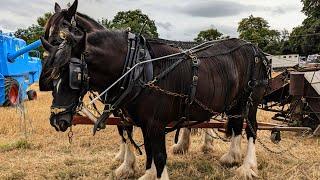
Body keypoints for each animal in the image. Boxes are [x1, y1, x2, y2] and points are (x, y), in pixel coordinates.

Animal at [39, 0, 270, 179]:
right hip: (234, 103)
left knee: (251, 129)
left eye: (74, 76)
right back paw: (231, 157)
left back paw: (246, 167)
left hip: (251, 100)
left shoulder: (154, 123)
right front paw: (138, 170)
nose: (56, 119)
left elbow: (157, 155)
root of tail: (255, 48)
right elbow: (146, 148)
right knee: (237, 125)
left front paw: (130, 166)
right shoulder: (138, 119)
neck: (137, 67)